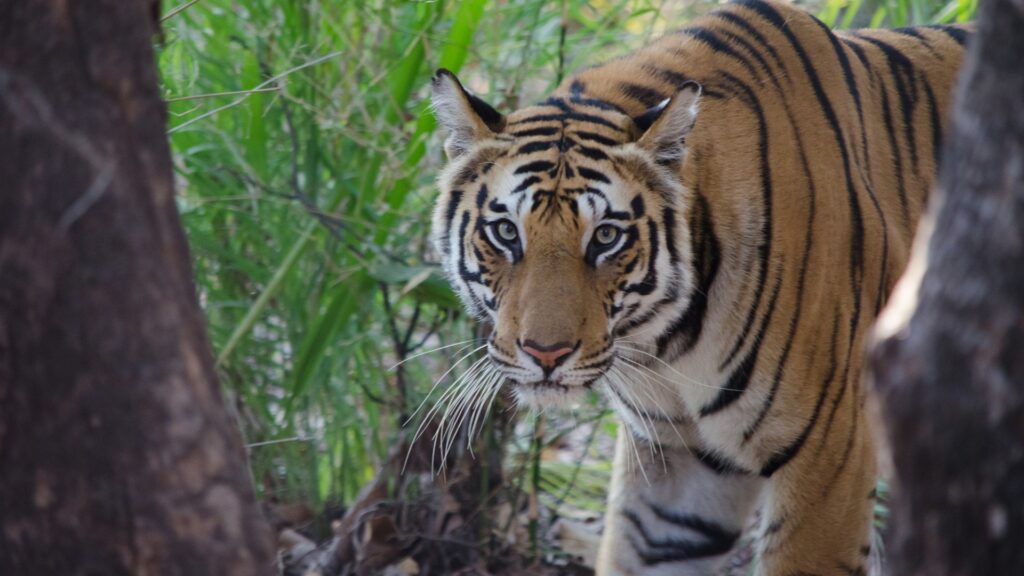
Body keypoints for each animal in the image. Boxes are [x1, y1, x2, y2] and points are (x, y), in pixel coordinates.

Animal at [428, 1, 969, 574]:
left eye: (606, 237)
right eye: (506, 232)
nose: (545, 354)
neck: (666, 346)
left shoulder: (831, 458)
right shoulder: (679, 462)